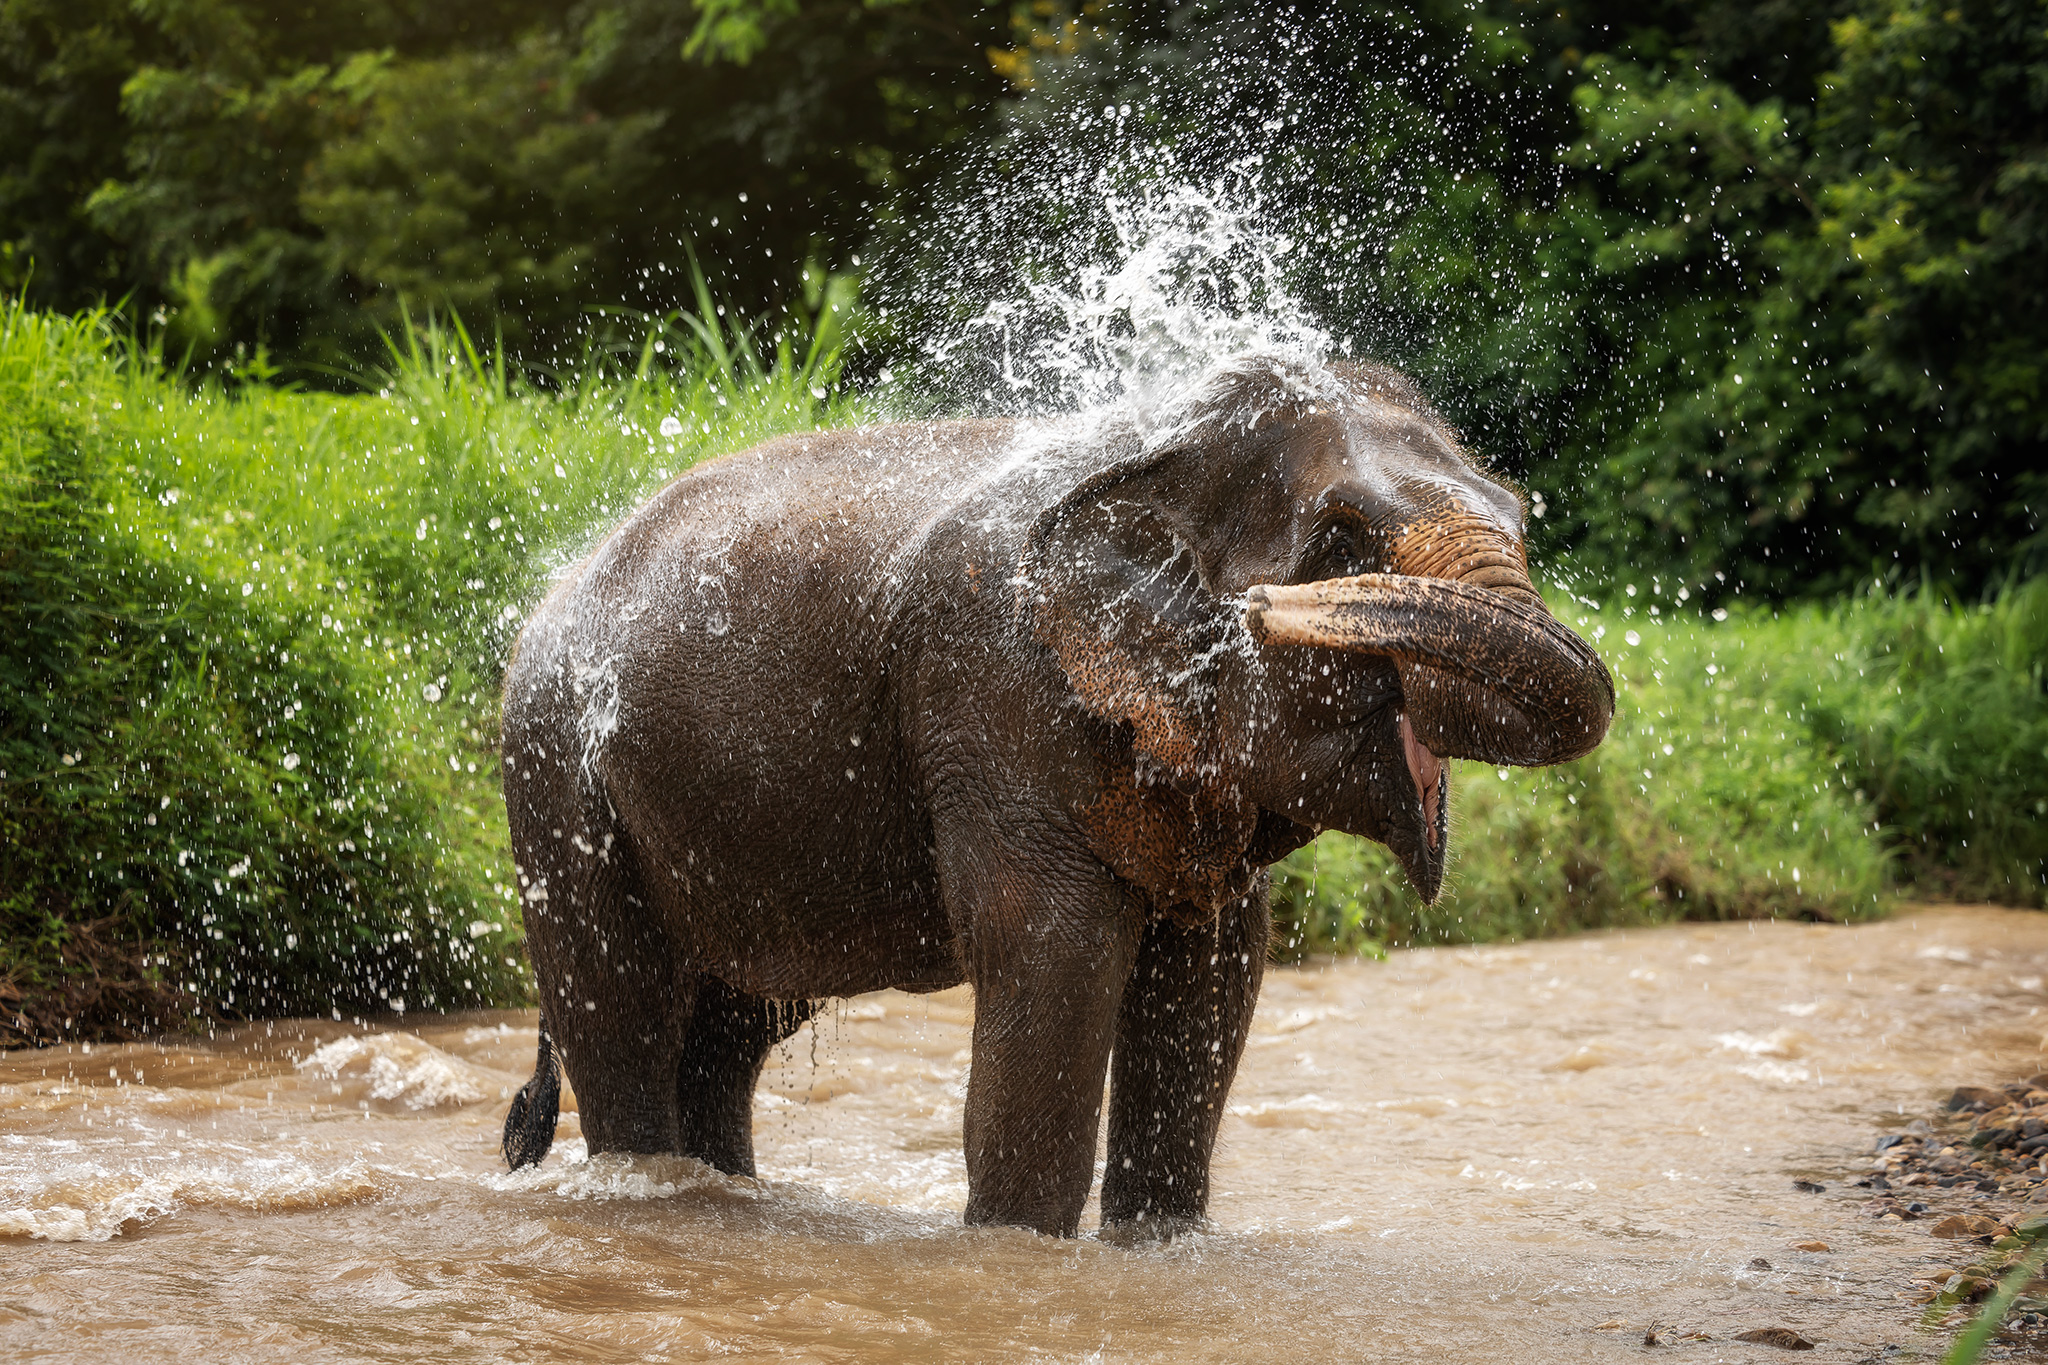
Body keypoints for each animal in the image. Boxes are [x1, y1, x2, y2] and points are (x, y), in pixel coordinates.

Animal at [496, 355, 1613, 1238]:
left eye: (1518, 513)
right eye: (1342, 538)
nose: (1266, 606)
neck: (1165, 443)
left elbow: (1213, 980)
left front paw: (1156, 1249)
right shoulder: (995, 695)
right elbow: (1055, 954)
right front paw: (1018, 1250)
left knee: (728, 1031)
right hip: (555, 777)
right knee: (623, 1011)